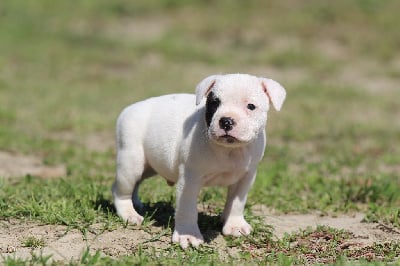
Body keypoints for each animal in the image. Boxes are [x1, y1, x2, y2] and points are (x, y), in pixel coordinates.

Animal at [112, 72, 286, 247]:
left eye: (251, 106)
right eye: (214, 103)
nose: (226, 121)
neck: (230, 150)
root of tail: (129, 108)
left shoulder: (246, 177)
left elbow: (236, 202)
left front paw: (234, 225)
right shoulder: (190, 179)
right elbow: (187, 208)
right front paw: (188, 235)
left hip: (149, 166)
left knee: (134, 183)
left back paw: (136, 203)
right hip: (132, 161)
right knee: (121, 189)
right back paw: (129, 213)